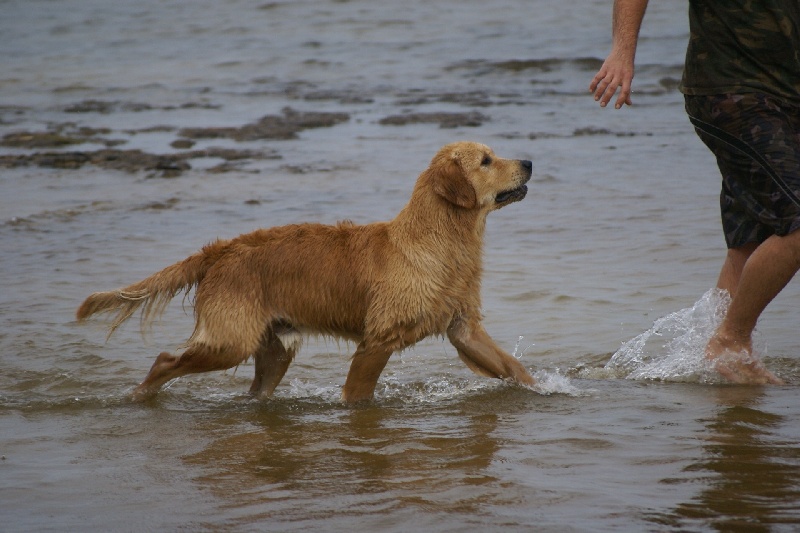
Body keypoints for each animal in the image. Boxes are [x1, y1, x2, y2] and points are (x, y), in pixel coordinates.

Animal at [76, 139, 536, 402]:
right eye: (486, 160)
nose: (529, 162)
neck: (441, 241)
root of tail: (220, 250)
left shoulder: (463, 327)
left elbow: (514, 369)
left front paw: (543, 390)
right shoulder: (378, 339)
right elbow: (357, 394)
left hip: (274, 349)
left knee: (254, 389)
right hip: (230, 340)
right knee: (164, 360)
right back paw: (138, 397)